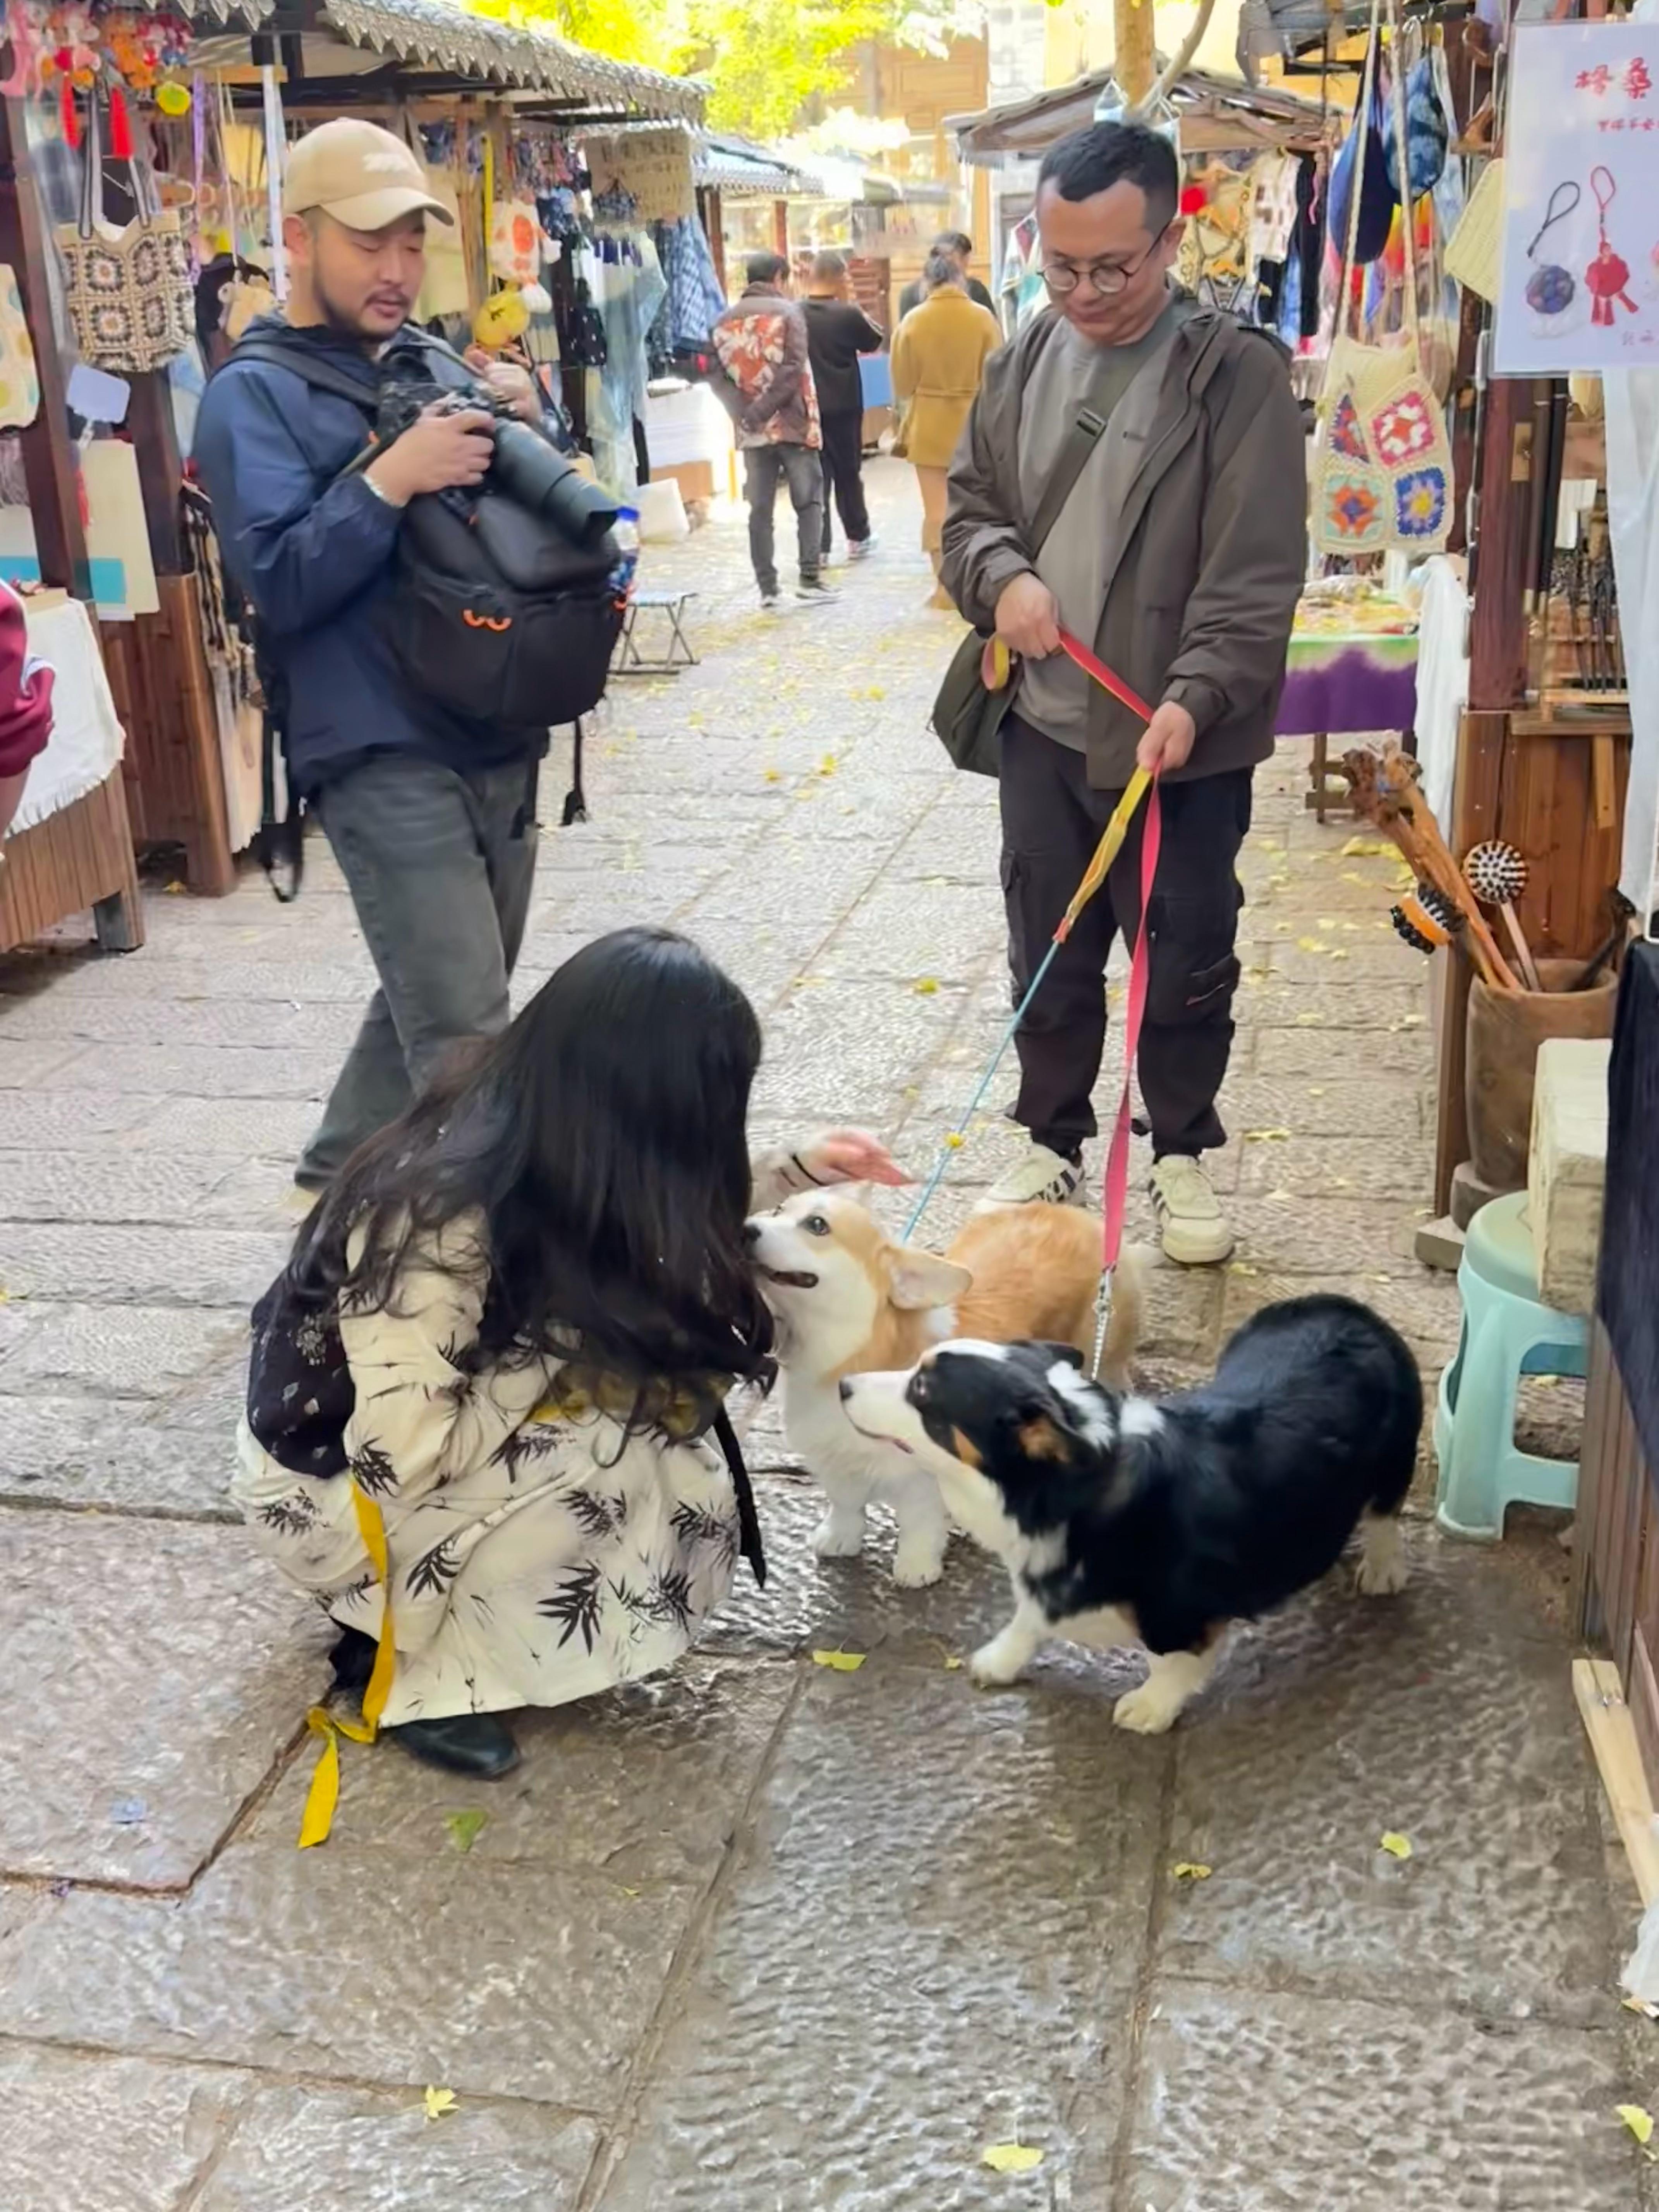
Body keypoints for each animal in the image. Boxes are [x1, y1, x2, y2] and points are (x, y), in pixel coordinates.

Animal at [845, 1291, 1433, 1734]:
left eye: (922, 1390)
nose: (844, 1386)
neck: (1049, 1494)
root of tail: (1346, 1306)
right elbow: (1028, 1621)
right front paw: (999, 1661)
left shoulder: (1181, 1610)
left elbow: (1175, 1659)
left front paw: (1150, 1708)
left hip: (1393, 1460)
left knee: (1384, 1514)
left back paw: (1383, 1568)